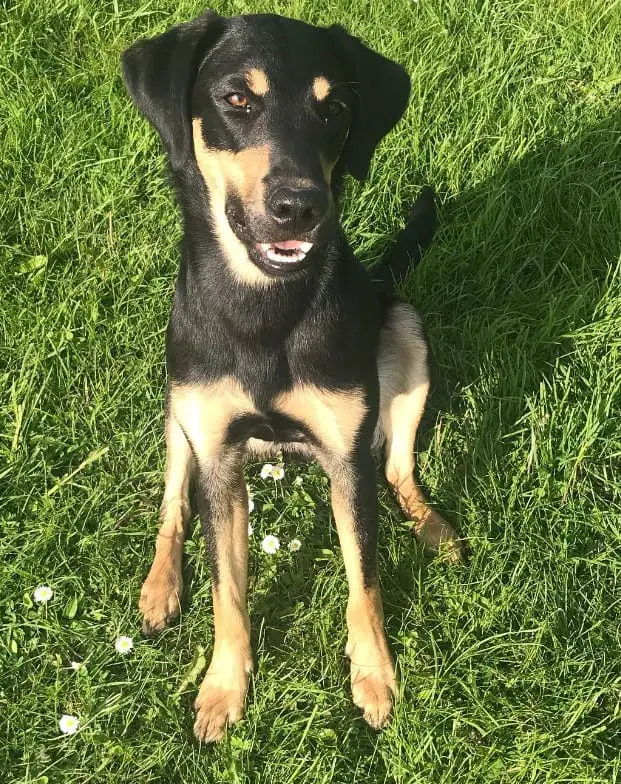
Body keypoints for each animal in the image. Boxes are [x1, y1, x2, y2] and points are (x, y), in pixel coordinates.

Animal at [122, 9, 460, 740]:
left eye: (333, 108)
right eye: (236, 99)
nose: (299, 205)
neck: (265, 308)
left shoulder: (346, 457)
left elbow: (364, 578)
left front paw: (374, 676)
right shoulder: (218, 457)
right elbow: (227, 589)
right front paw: (224, 689)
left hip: (406, 331)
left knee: (399, 467)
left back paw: (432, 528)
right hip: (177, 407)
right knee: (172, 501)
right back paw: (160, 585)